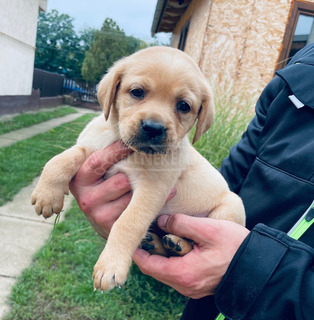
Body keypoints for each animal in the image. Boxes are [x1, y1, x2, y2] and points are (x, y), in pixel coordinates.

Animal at [31, 45, 245, 292]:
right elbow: (60, 159)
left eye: (184, 106)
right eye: (137, 92)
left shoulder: (152, 189)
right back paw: (161, 243)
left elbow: (128, 222)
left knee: (192, 241)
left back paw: (179, 243)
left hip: (229, 208)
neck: (127, 146)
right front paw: (46, 195)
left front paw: (111, 266)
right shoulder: (90, 148)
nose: (153, 128)